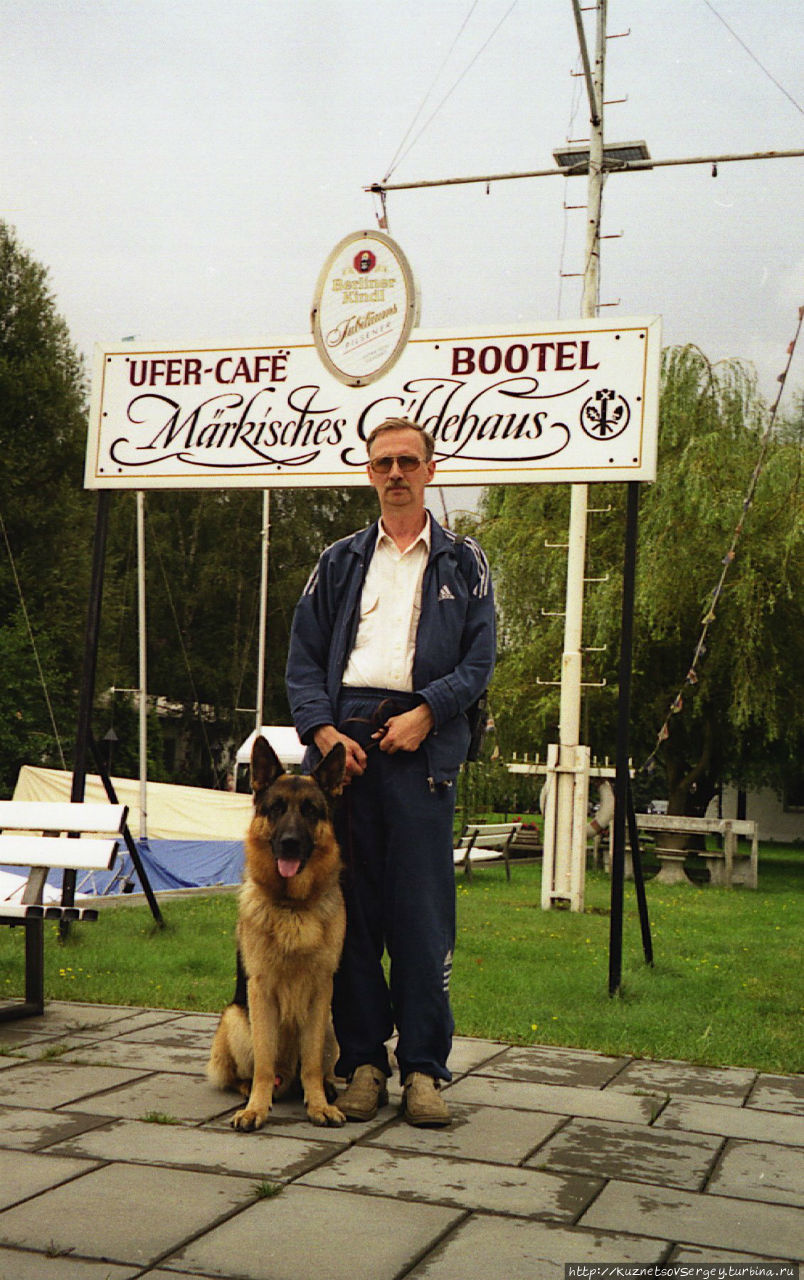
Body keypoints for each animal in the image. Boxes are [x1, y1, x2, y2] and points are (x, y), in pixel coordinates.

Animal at [207, 737, 345, 1136]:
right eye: (276, 809)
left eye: (311, 811)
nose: (289, 843)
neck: (293, 905)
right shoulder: (261, 992)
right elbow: (264, 1062)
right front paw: (256, 1109)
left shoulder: (320, 992)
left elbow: (311, 1062)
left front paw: (319, 1105)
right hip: (236, 1020)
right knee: (246, 1073)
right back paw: (252, 1092)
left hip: (331, 1028)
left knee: (311, 1069)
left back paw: (325, 1088)